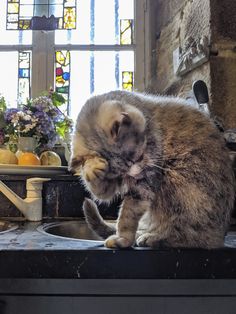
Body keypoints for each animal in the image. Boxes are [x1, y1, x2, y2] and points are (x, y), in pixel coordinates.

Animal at [69, 89, 235, 249]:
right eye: (120, 174)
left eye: (137, 157)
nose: (135, 175)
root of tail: (220, 236)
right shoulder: (113, 185)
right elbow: (102, 192)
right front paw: (91, 168)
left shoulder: (144, 185)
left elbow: (127, 216)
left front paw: (124, 239)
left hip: (182, 183)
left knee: (194, 237)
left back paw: (154, 238)